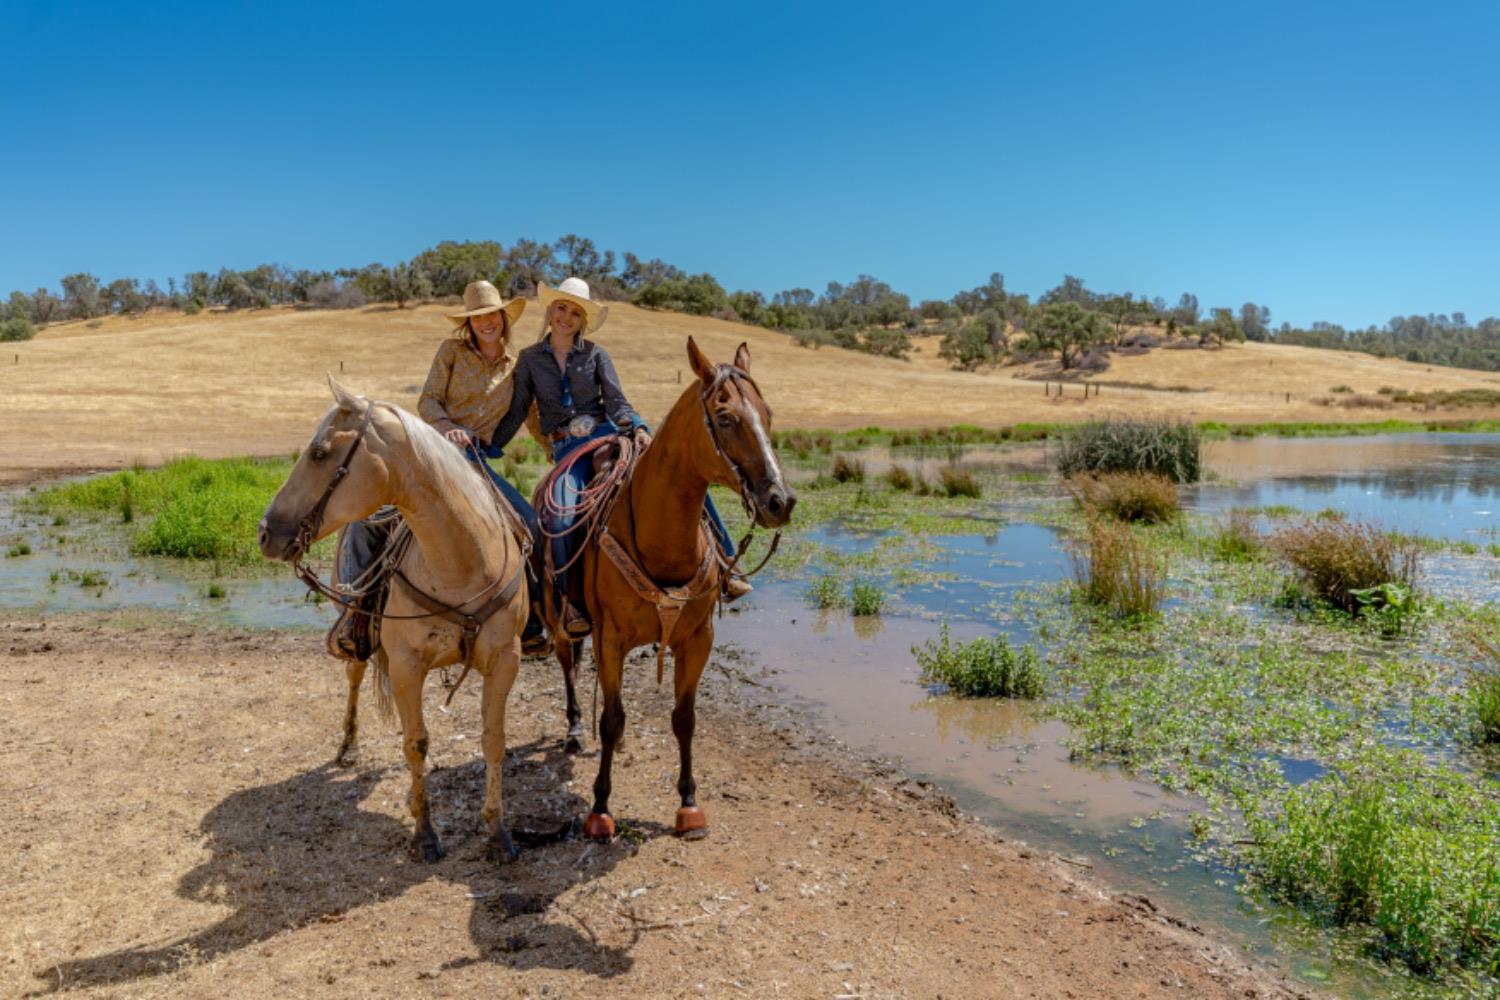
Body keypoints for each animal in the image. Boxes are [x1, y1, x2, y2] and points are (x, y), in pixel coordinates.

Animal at [261, 379, 531, 863]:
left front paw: (498, 832)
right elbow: (416, 743)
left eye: (319, 453)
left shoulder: (505, 659)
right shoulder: (406, 665)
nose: (265, 532)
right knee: (354, 676)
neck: (462, 562)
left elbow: (493, 740)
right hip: (356, 632)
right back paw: (348, 746)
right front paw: (424, 834)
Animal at [543, 340, 792, 839]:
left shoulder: (696, 640)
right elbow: (612, 717)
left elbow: (684, 719)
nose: (780, 501)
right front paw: (600, 808)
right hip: (562, 621)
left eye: (768, 414)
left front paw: (689, 804)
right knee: (568, 666)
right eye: (724, 417)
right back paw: (576, 730)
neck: (662, 538)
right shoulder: (610, 640)